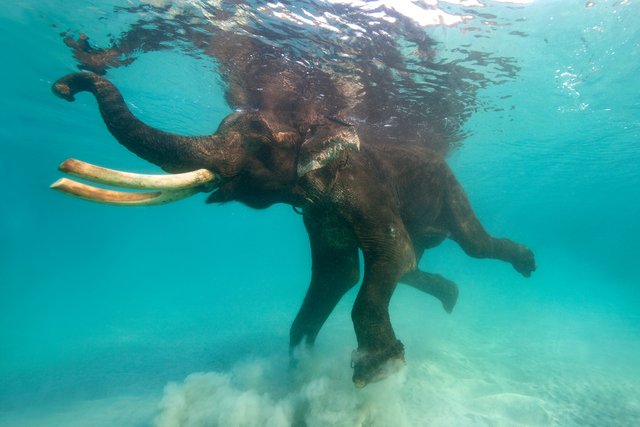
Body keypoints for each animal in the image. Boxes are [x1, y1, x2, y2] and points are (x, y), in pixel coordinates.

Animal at [50, 72, 536, 388]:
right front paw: (300, 365)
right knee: (415, 264)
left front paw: (377, 372)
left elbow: (387, 259)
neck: (317, 125)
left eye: (261, 142)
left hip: (451, 192)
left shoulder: (364, 189)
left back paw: (526, 263)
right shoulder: (318, 215)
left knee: (467, 246)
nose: (63, 88)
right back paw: (450, 294)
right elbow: (339, 274)